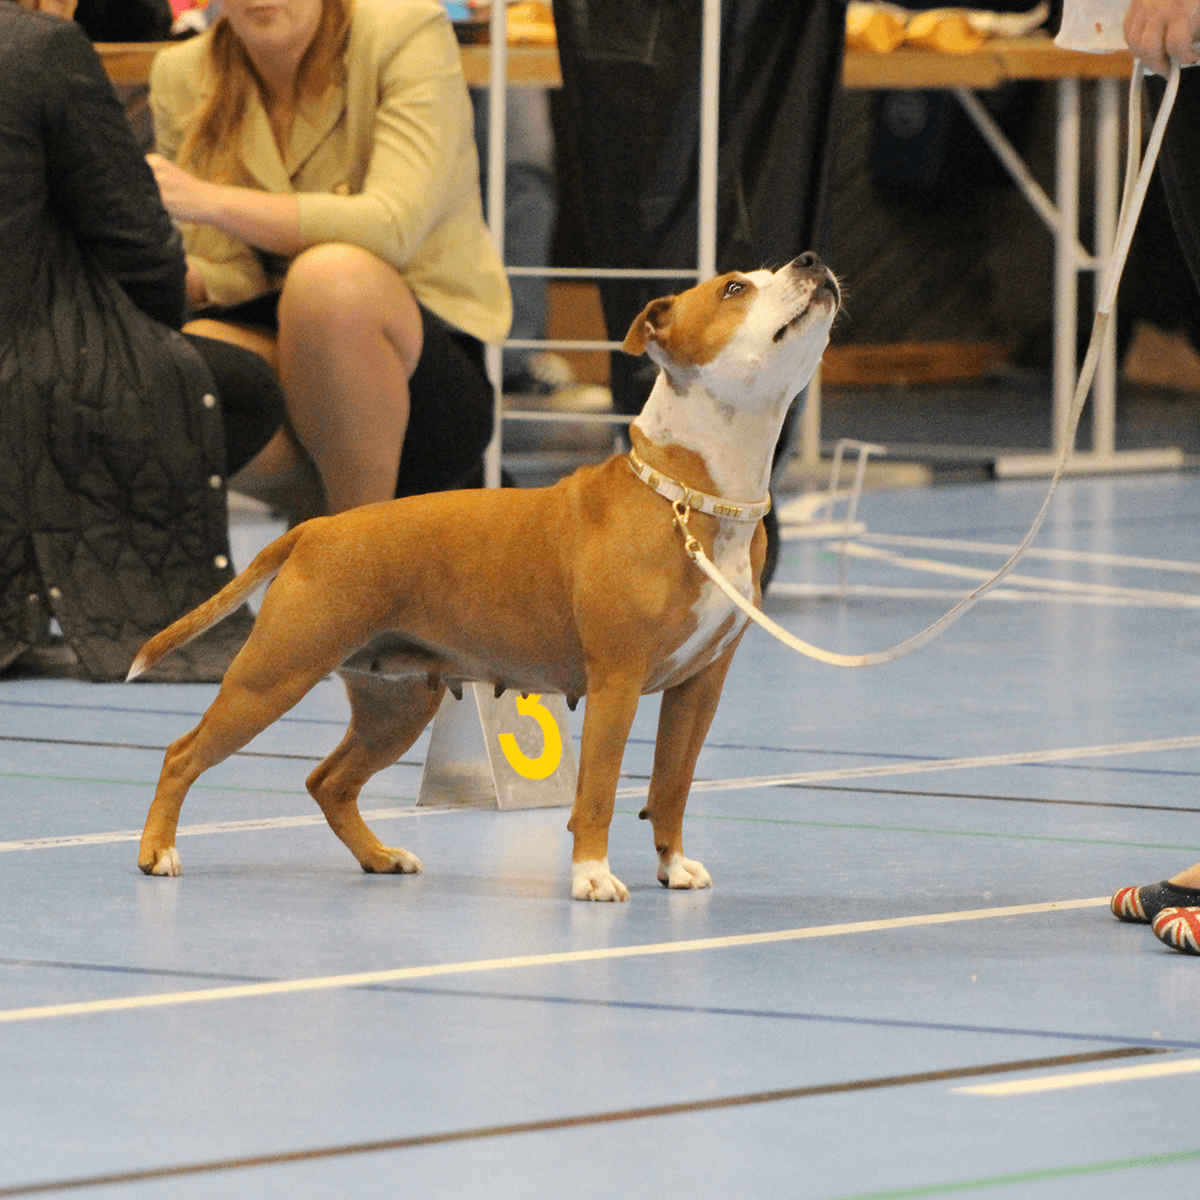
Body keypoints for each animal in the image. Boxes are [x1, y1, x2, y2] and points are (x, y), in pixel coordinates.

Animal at [131, 258, 840, 902]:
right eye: (735, 288)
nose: (811, 260)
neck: (690, 494)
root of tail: (316, 528)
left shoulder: (699, 687)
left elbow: (672, 783)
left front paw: (673, 867)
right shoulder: (618, 680)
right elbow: (599, 790)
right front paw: (591, 876)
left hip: (395, 704)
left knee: (329, 781)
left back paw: (380, 858)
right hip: (273, 675)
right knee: (182, 753)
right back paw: (158, 852)